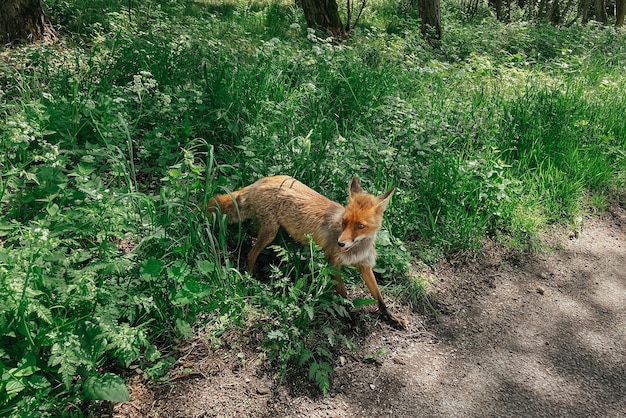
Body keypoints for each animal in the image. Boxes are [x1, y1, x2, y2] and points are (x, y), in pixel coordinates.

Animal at [207, 175, 408, 328]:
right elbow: (343, 296)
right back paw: (249, 280)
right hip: (270, 232)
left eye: (360, 226)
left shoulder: (365, 266)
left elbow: (379, 297)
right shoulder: (333, 264)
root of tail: (261, 181)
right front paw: (349, 318)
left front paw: (391, 317)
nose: (340, 243)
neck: (357, 249)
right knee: (250, 254)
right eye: (344, 222)